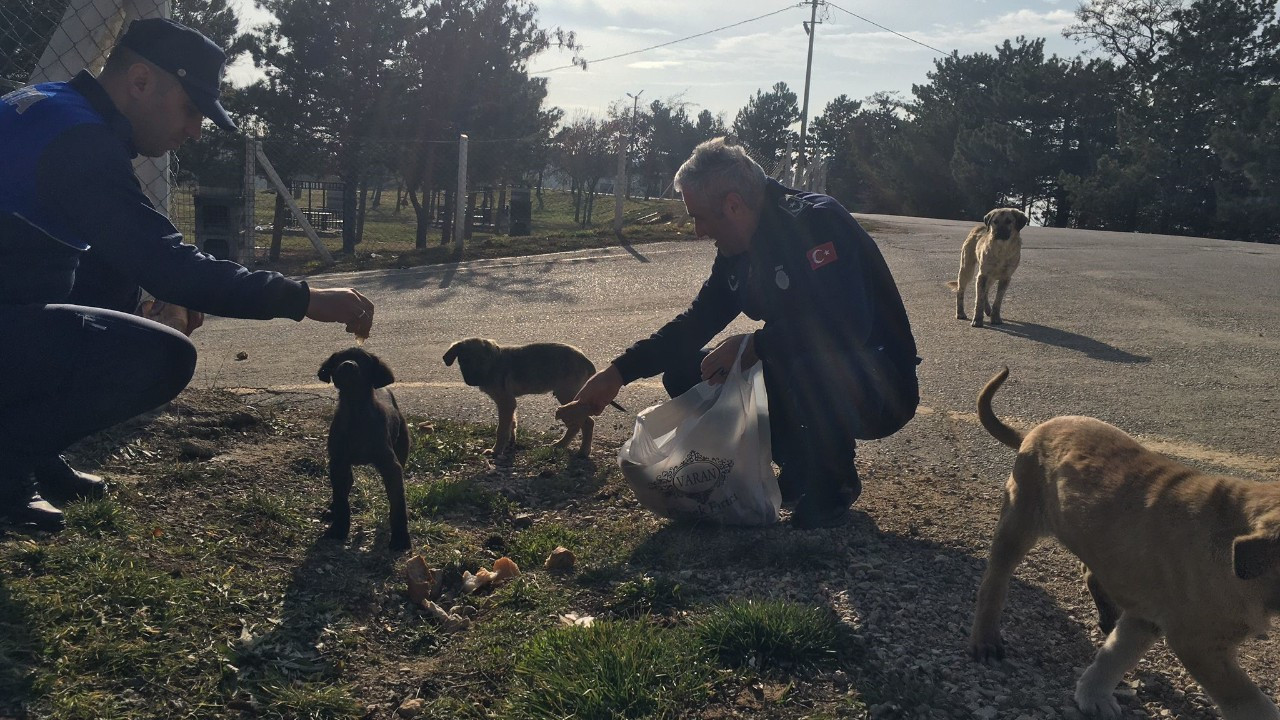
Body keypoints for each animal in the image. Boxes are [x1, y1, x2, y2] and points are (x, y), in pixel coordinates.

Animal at [316, 348, 409, 548]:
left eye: (364, 360)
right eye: (338, 359)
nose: (348, 365)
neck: (356, 414)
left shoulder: (391, 466)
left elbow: (398, 503)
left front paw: (400, 539)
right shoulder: (339, 463)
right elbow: (342, 501)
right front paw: (339, 529)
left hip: (403, 448)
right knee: (343, 488)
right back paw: (331, 510)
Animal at [440, 335, 599, 453]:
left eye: (482, 360)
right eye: (463, 361)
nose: (473, 380)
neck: (493, 365)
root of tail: (585, 359)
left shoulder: (506, 402)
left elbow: (501, 429)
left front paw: (496, 451)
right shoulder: (509, 403)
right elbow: (512, 423)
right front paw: (511, 442)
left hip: (566, 395)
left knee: (585, 423)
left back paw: (578, 450)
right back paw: (565, 446)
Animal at [967, 366, 1280, 712]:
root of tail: (1034, 432)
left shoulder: (1146, 620)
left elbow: (1113, 657)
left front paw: (1093, 696)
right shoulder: (1198, 643)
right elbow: (1249, 700)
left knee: (1091, 573)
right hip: (1017, 526)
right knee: (994, 583)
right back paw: (986, 639)